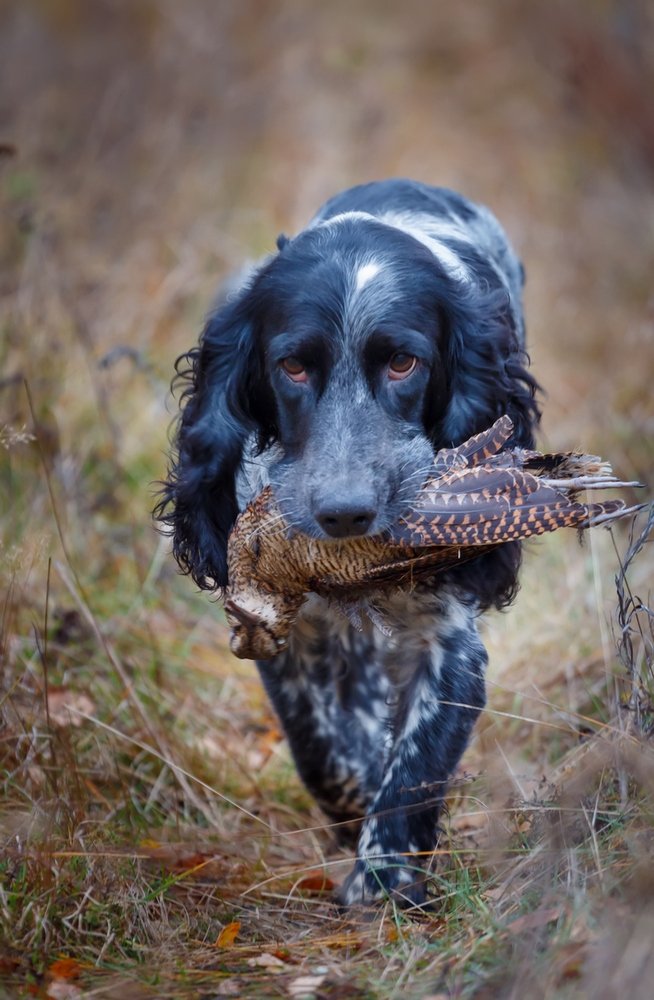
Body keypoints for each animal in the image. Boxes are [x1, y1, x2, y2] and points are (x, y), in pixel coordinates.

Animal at [158, 180, 544, 908]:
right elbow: (319, 747)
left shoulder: (448, 640)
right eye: (291, 367)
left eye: (403, 362)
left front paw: (386, 882)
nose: (344, 514)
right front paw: (355, 811)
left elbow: (417, 766)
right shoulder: (285, 628)